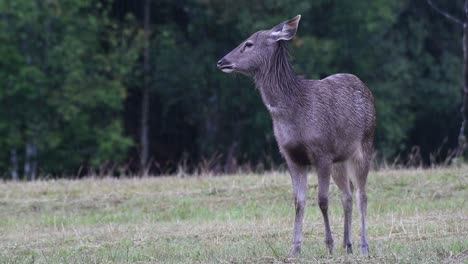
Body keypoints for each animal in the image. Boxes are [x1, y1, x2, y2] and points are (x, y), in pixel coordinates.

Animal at [217, 15, 376, 256]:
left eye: (249, 43)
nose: (221, 61)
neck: (292, 113)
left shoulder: (322, 152)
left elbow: (322, 200)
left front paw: (328, 245)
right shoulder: (291, 155)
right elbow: (299, 202)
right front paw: (294, 248)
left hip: (364, 145)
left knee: (362, 195)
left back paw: (363, 246)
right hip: (340, 158)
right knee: (346, 196)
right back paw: (347, 245)